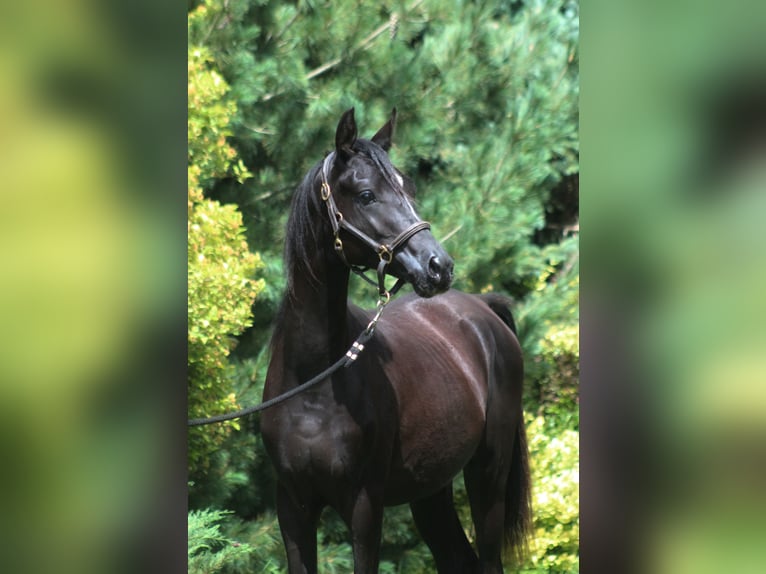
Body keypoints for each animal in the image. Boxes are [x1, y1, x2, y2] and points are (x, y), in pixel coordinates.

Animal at [260, 108, 531, 574]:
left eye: (409, 189)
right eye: (367, 194)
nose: (438, 266)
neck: (314, 383)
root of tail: (483, 308)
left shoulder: (364, 506)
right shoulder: (293, 507)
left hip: (487, 477)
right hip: (431, 491)